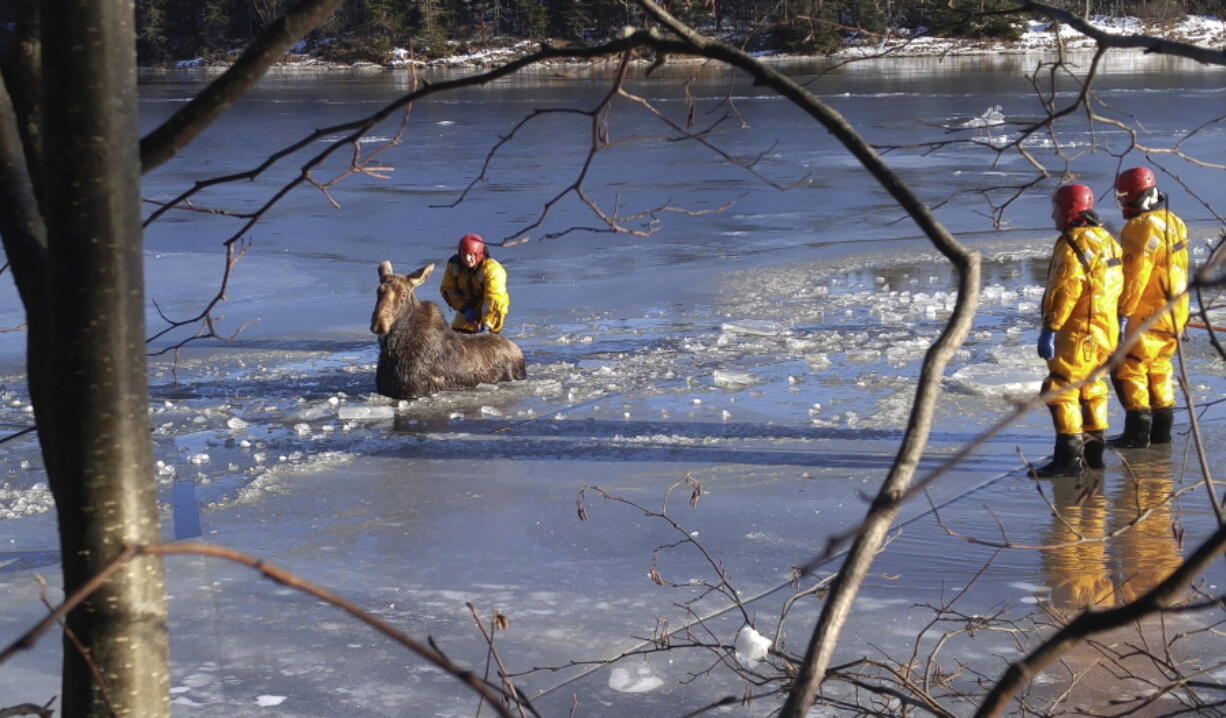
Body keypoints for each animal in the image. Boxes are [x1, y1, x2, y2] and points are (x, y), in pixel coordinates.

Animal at [372, 260, 527, 396]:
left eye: (404, 293)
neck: (393, 350)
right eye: (378, 290)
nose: (379, 323)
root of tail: (519, 352)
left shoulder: (415, 390)